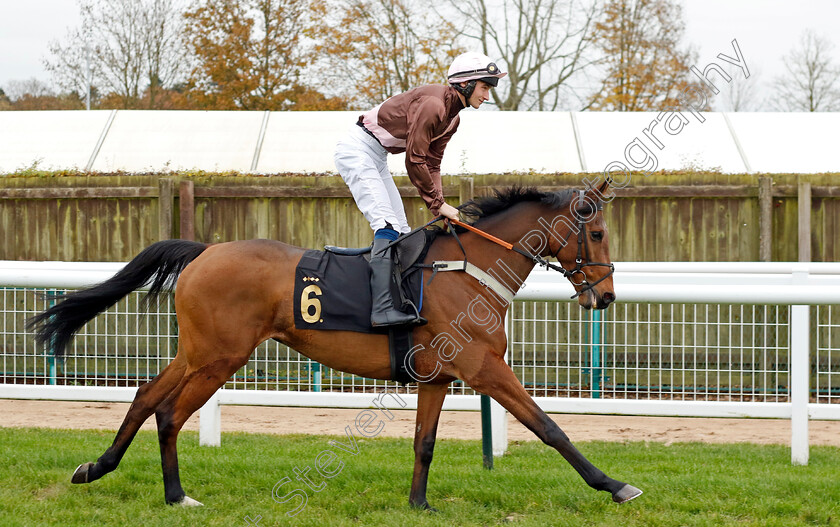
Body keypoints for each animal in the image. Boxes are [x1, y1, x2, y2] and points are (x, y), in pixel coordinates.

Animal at [27, 180, 644, 508]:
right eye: (595, 232)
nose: (607, 295)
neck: (468, 268)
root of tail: (205, 250)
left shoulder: (440, 375)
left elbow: (424, 442)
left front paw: (418, 503)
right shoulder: (484, 366)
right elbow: (550, 427)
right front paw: (614, 485)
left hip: (197, 351)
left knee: (146, 394)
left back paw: (96, 467)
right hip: (221, 356)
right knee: (171, 413)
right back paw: (177, 494)